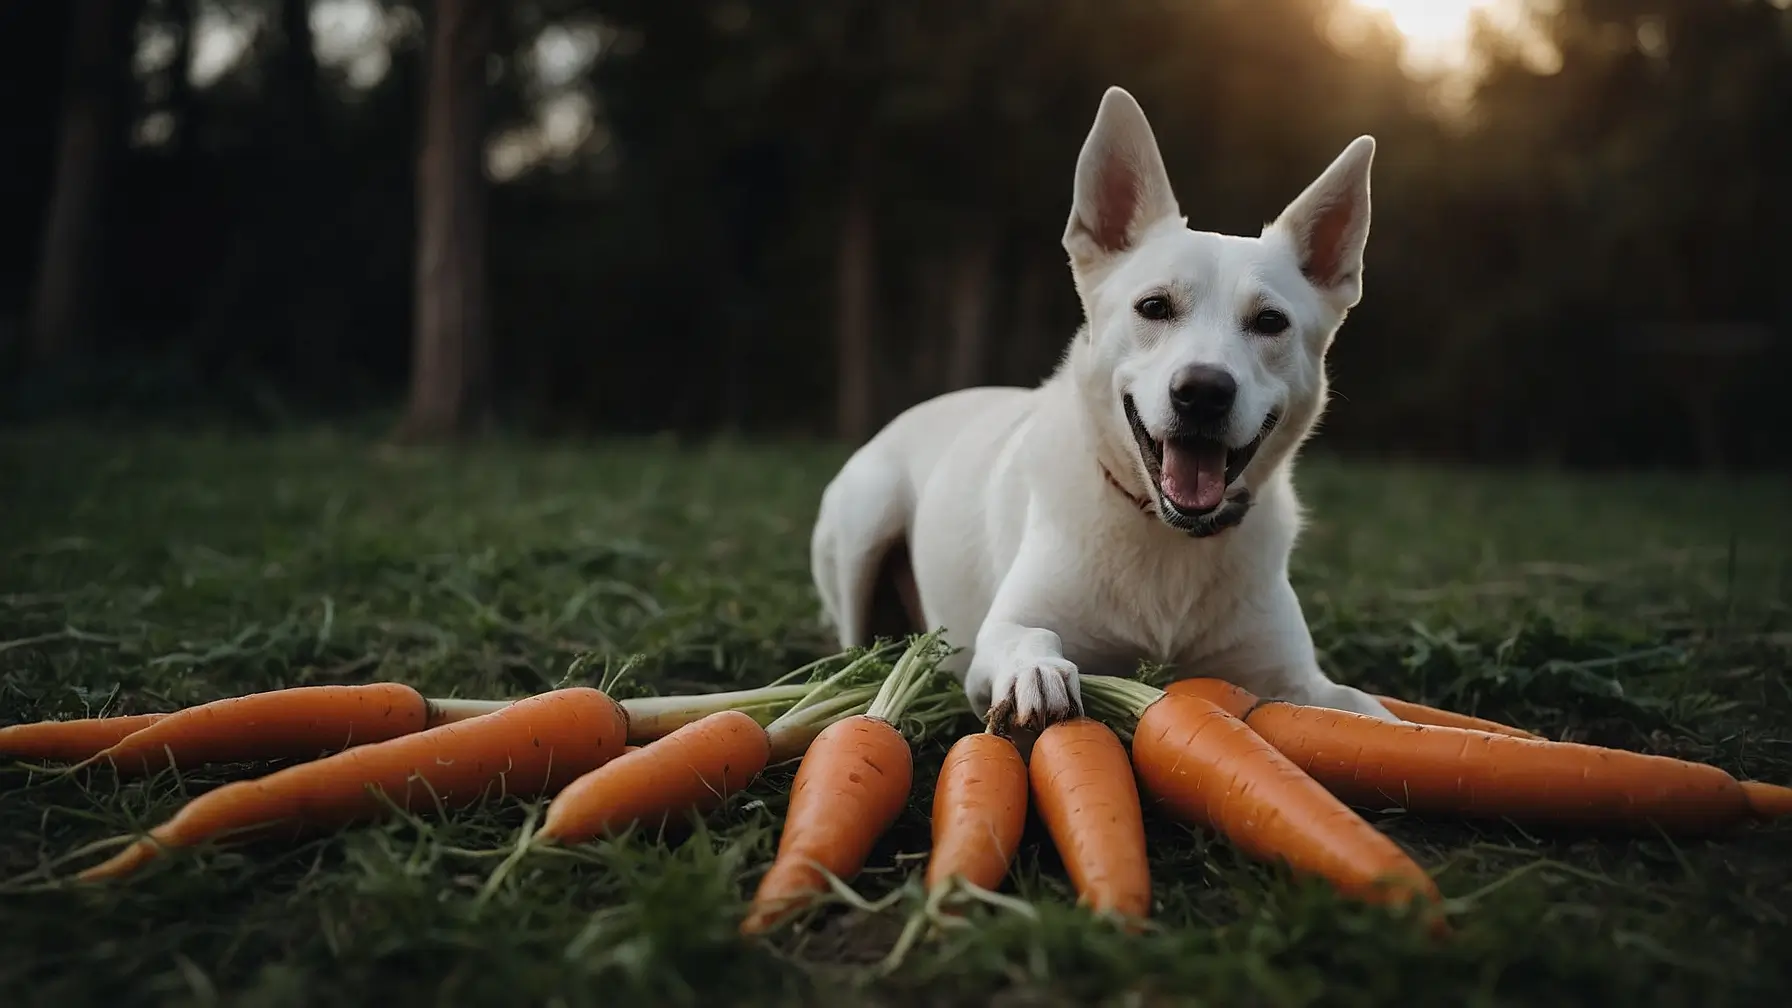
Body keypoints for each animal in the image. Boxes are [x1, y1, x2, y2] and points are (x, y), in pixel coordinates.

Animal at [813, 86, 1397, 728]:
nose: (1203, 391)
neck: (1169, 536)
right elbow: (1026, 637)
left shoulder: (1297, 682)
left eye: (1271, 322)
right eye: (1154, 306)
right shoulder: (1001, 635)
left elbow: (1367, 710)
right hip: (867, 517)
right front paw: (1037, 671)